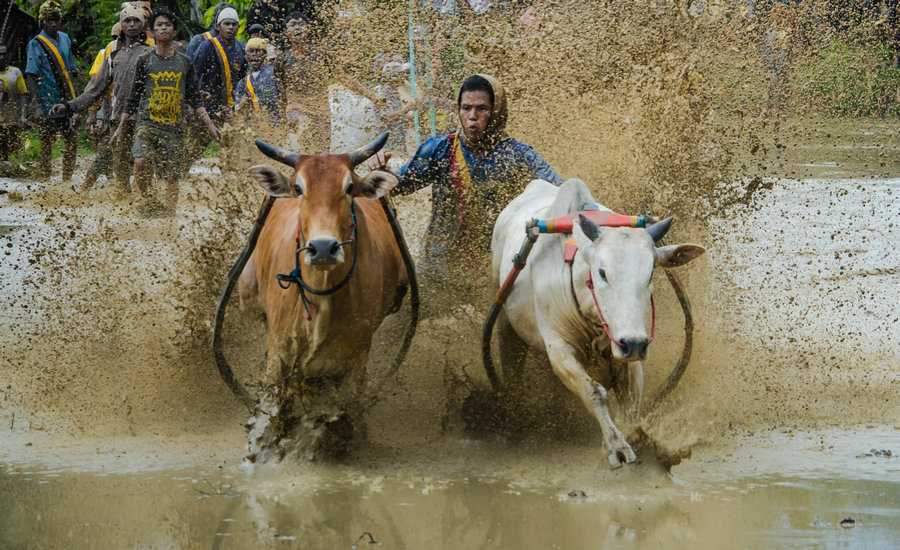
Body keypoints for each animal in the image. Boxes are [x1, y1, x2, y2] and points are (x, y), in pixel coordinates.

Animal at [241, 134, 406, 462]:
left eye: (349, 187)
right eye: (298, 188)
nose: (322, 248)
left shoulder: (356, 359)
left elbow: (340, 411)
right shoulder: (279, 352)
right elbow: (272, 412)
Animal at [488, 179, 708, 468]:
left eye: (650, 273)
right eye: (602, 272)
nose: (633, 344)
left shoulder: (628, 354)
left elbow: (631, 403)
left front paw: (634, 436)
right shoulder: (559, 349)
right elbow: (594, 392)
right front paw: (617, 447)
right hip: (505, 317)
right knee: (510, 359)